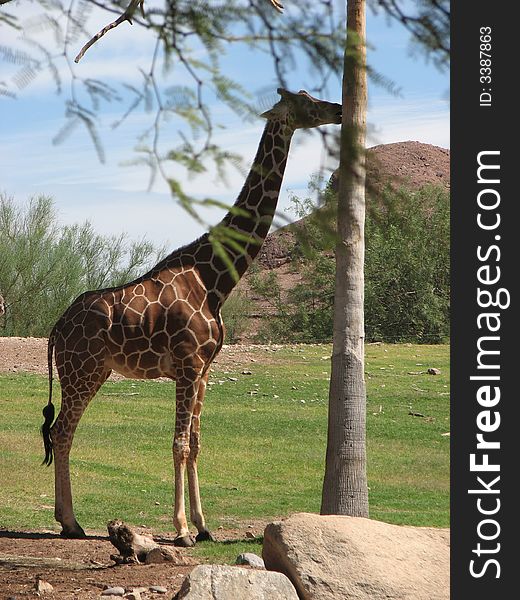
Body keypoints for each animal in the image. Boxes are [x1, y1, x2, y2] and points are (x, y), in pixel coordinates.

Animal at [40, 88, 342, 544]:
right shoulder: (187, 364)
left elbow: (196, 442)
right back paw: (71, 522)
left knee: (64, 432)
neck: (216, 278)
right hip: (82, 370)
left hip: (95, 371)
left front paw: (203, 526)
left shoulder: (204, 369)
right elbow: (179, 443)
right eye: (307, 100)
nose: (339, 109)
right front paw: (181, 528)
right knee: (61, 431)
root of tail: (57, 326)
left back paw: (70, 521)